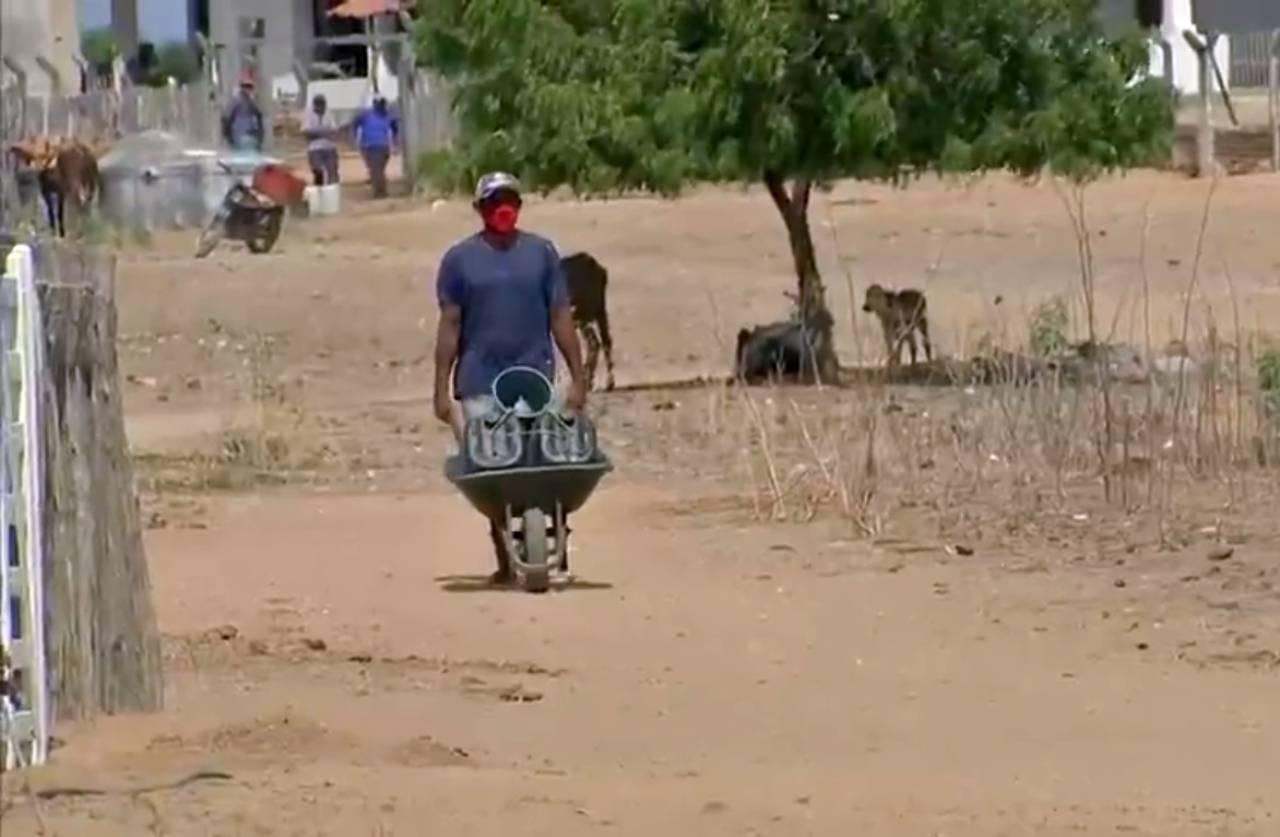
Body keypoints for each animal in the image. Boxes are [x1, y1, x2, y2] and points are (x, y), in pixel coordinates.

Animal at [563, 252, 616, 394]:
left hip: (583, 316)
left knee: (594, 343)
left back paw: (588, 382)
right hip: (599, 312)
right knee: (605, 341)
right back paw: (608, 383)